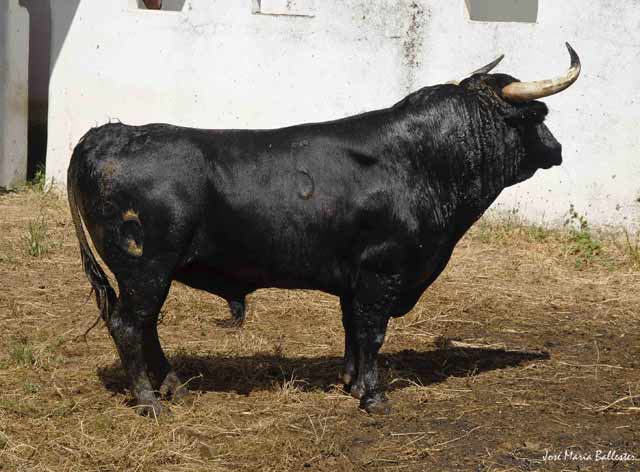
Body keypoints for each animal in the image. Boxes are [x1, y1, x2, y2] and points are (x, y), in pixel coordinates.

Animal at [66, 45, 580, 412]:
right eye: (540, 117)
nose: (557, 150)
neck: (420, 161)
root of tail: (107, 134)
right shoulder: (383, 272)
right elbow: (373, 333)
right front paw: (374, 397)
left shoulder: (356, 279)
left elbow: (353, 329)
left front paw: (350, 383)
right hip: (146, 269)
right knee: (128, 325)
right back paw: (150, 401)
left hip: (150, 275)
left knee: (145, 327)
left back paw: (175, 387)